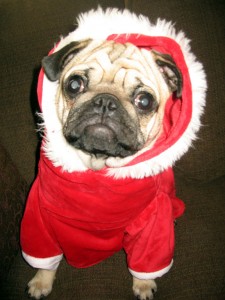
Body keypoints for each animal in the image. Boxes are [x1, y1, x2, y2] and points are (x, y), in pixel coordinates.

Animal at [20, 7, 207, 300]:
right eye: (74, 85)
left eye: (145, 101)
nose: (106, 102)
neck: (99, 166)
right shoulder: (39, 214)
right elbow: (44, 256)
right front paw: (41, 281)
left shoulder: (152, 222)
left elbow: (145, 261)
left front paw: (143, 285)